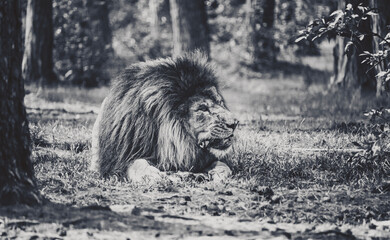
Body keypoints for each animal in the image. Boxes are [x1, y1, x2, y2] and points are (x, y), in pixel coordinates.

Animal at [91, 52, 238, 183]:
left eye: (220, 102)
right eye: (202, 108)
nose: (235, 123)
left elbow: (223, 164)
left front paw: (218, 173)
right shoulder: (119, 162)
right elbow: (137, 163)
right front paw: (154, 176)